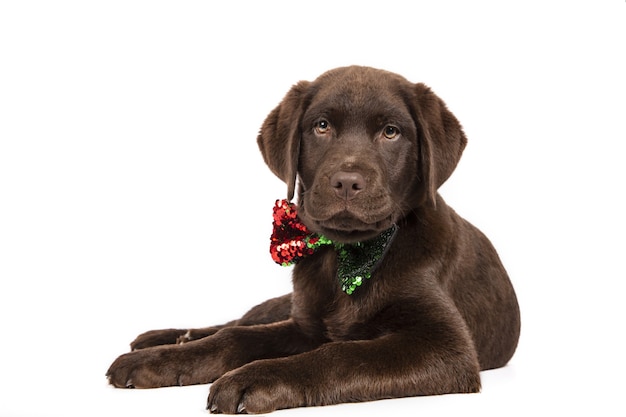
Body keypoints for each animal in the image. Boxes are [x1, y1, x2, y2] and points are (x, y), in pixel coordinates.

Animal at [106, 66, 516, 412]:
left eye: (391, 132)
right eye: (321, 126)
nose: (347, 182)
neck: (347, 255)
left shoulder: (446, 347)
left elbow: (342, 355)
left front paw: (256, 378)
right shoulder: (304, 325)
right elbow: (235, 338)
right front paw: (158, 362)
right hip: (287, 303)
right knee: (238, 320)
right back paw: (164, 340)